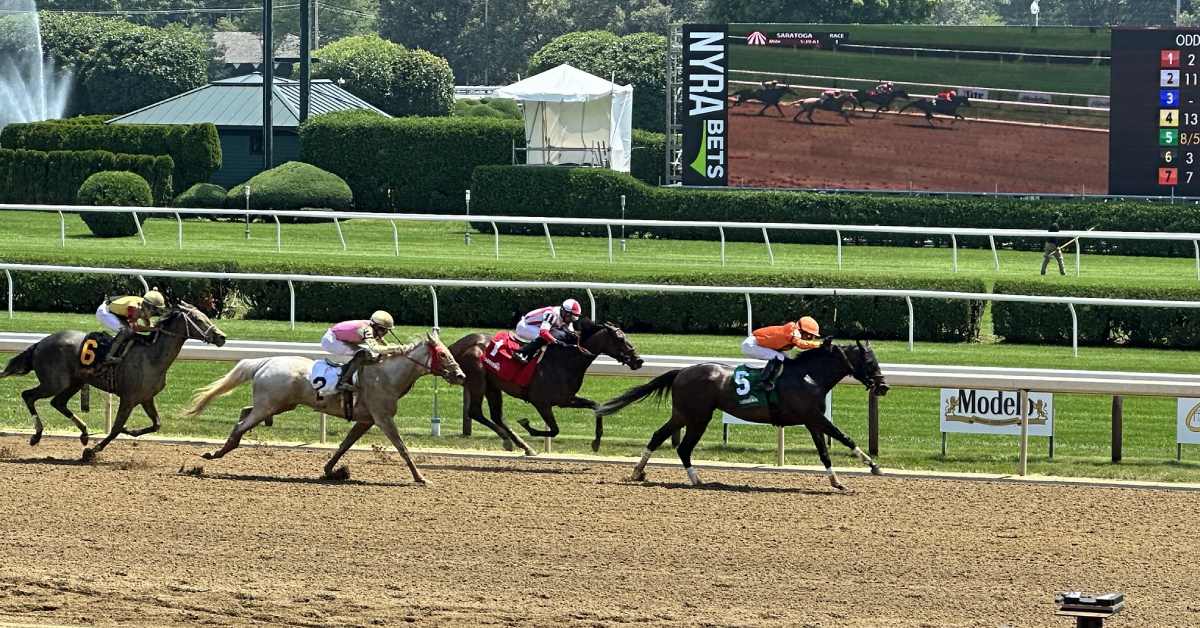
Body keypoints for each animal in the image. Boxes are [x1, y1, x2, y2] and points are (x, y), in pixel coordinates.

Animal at [0, 304, 225, 461]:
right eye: (198, 319)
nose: (221, 337)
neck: (152, 356)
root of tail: (40, 343)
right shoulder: (128, 398)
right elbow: (116, 428)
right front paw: (92, 452)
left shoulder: (146, 398)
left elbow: (156, 424)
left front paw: (130, 431)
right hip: (54, 383)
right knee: (28, 395)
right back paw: (37, 435)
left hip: (73, 382)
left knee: (58, 403)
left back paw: (84, 433)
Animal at [182, 333, 463, 487]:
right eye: (443, 354)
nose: (460, 375)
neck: (386, 375)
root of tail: (265, 361)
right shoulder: (382, 417)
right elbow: (402, 447)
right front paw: (420, 477)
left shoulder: (366, 420)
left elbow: (344, 445)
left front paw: (331, 470)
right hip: (270, 404)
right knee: (241, 425)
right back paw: (216, 453)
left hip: (278, 404)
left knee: (244, 413)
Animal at [451, 319, 643, 456]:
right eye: (620, 338)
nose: (639, 360)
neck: (565, 360)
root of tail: (459, 343)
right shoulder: (541, 402)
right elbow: (555, 430)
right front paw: (526, 424)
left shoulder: (566, 400)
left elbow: (596, 406)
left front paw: (596, 442)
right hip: (478, 381)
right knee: (475, 412)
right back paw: (510, 441)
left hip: (492, 385)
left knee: (496, 416)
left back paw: (521, 445)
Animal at [592, 338, 888, 492]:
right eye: (869, 361)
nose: (883, 386)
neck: (809, 376)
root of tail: (681, 371)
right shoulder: (814, 417)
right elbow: (844, 437)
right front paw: (873, 465)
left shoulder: (812, 420)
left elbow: (824, 452)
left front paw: (837, 481)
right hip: (696, 416)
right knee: (680, 445)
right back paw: (689, 479)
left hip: (687, 415)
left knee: (664, 438)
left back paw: (644, 473)